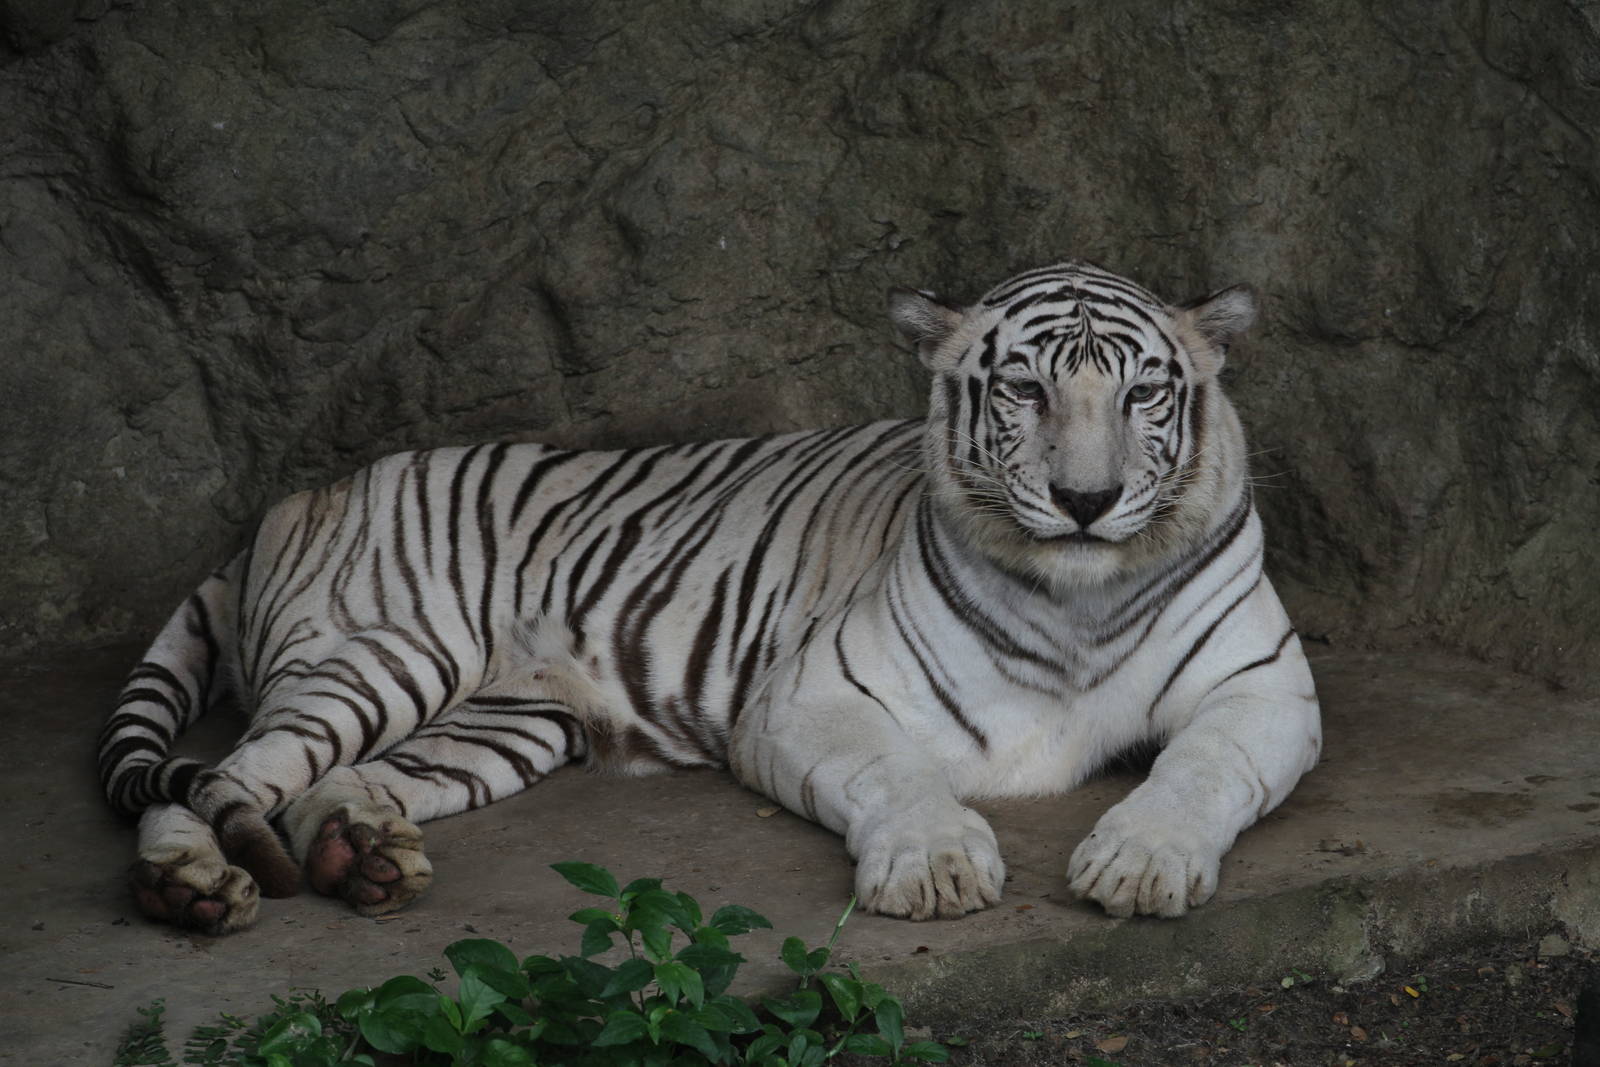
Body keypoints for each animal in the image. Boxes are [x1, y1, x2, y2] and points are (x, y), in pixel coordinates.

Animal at [99, 260, 1322, 934]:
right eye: (1023, 389)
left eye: (1144, 394)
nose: (1085, 499)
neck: (1075, 599)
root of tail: (296, 496)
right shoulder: (814, 695)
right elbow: (901, 775)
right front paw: (933, 868)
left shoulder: (1263, 692)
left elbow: (1198, 769)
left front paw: (1141, 862)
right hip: (380, 657)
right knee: (222, 775)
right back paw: (193, 887)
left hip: (502, 722)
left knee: (319, 784)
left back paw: (363, 857)